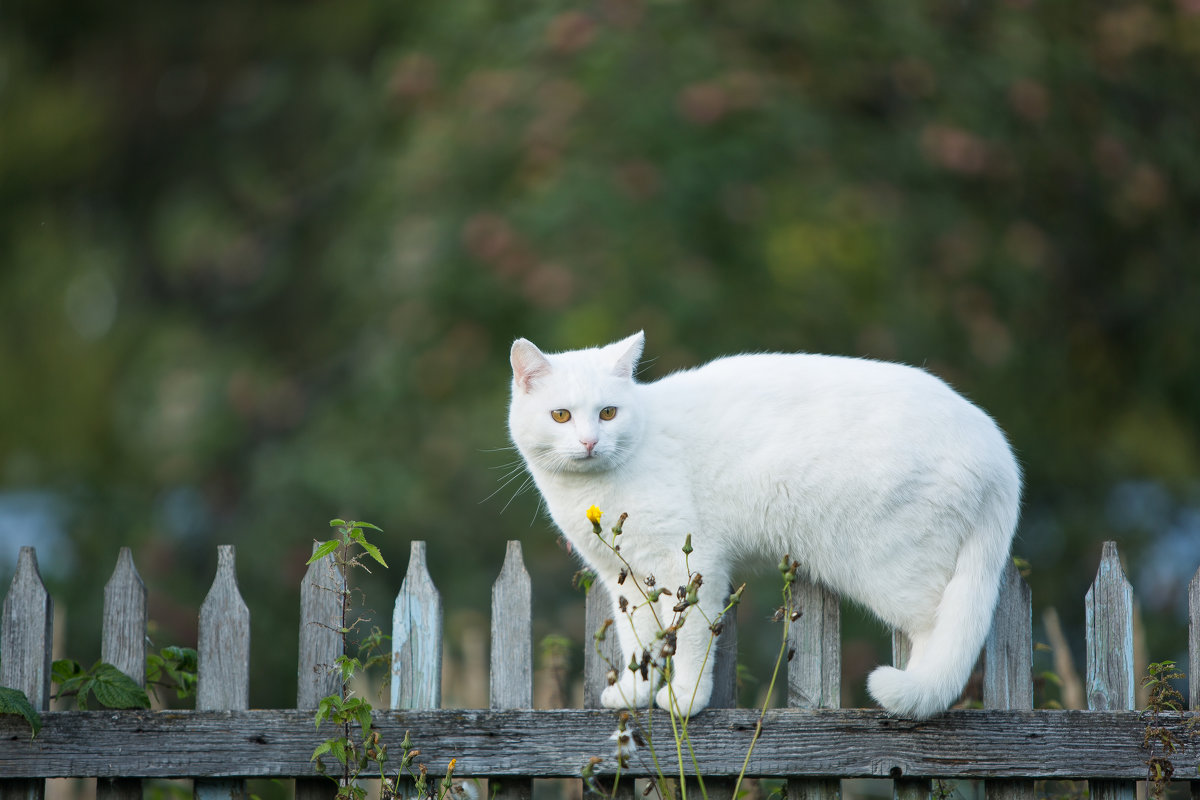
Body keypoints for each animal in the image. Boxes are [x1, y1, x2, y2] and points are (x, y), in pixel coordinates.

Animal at [506, 331, 1022, 719]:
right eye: (561, 416)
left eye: (609, 413)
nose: (590, 442)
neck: (592, 493)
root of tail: (998, 450)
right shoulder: (628, 579)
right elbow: (640, 640)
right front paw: (635, 694)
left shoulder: (688, 566)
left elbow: (688, 638)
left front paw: (684, 699)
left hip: (891, 567)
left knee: (942, 629)